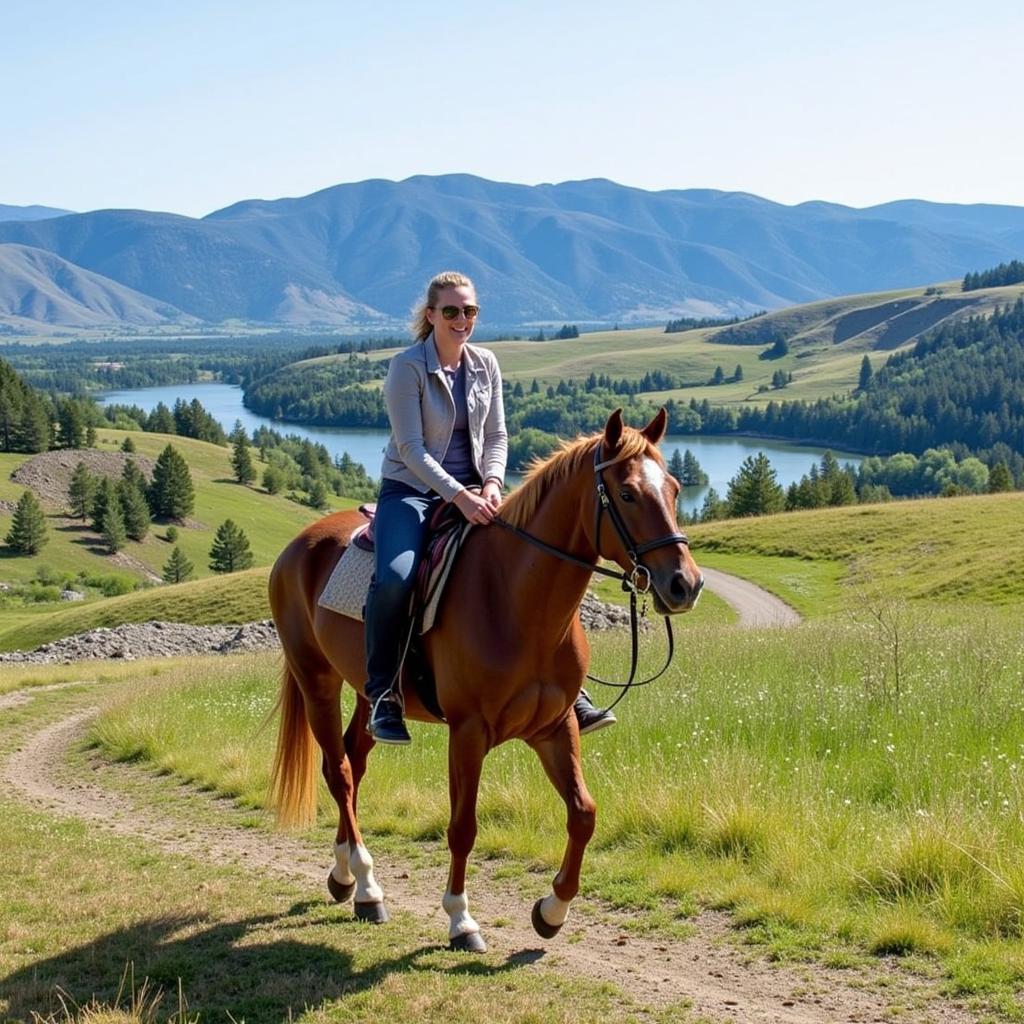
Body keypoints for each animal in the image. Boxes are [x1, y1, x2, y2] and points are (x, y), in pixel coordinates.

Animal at [268, 407, 704, 950]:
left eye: (674, 488)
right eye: (626, 493)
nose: (685, 584)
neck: (515, 600)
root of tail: (296, 548)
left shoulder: (555, 727)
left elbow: (584, 813)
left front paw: (552, 910)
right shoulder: (468, 733)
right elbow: (463, 827)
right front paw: (461, 919)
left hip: (370, 695)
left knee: (355, 759)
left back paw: (344, 874)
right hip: (317, 683)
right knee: (340, 773)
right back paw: (367, 886)